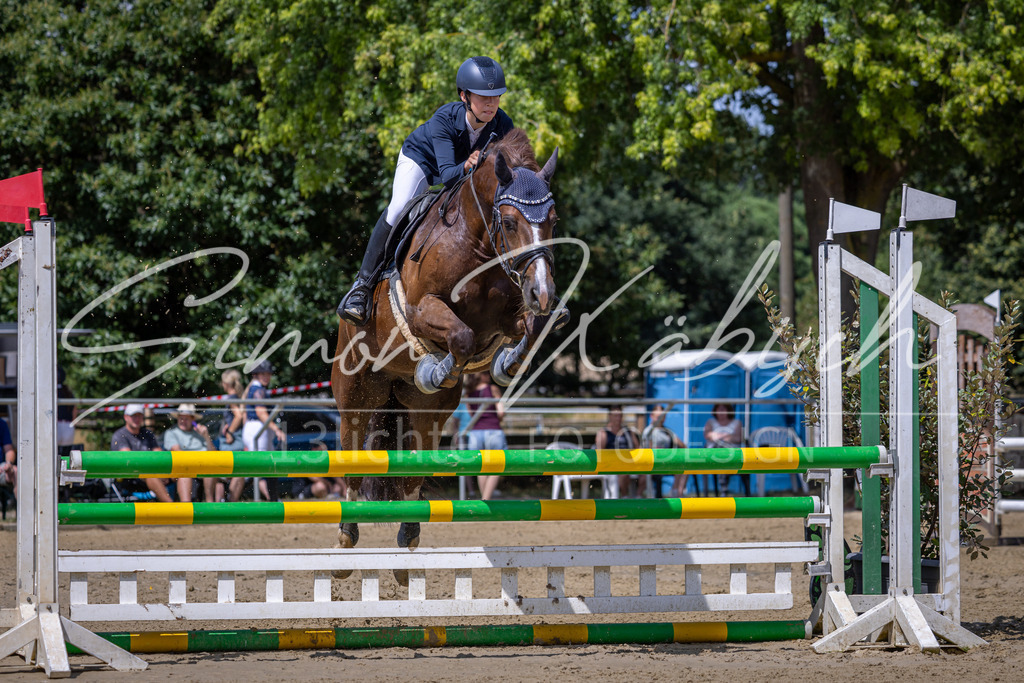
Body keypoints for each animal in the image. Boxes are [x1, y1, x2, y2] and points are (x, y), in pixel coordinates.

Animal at [330, 128, 561, 584]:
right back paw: (346, 542)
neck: (477, 245)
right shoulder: (424, 311)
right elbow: (461, 336)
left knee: (411, 478)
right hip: (357, 395)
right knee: (353, 460)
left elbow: (527, 328)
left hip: (425, 415)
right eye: (510, 223)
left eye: (554, 221)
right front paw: (435, 369)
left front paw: (508, 362)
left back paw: (407, 548)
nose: (543, 291)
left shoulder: (509, 314)